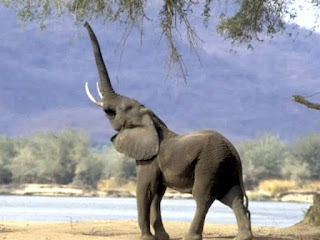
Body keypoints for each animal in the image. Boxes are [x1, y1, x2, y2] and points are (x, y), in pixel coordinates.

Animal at [84, 22, 254, 240]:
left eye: (114, 111)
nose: (84, 23)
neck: (153, 120)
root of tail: (235, 153)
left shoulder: (149, 159)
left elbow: (146, 190)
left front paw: (147, 238)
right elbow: (157, 193)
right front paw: (161, 237)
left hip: (210, 163)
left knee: (203, 196)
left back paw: (191, 237)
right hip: (226, 167)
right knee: (232, 197)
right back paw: (243, 237)